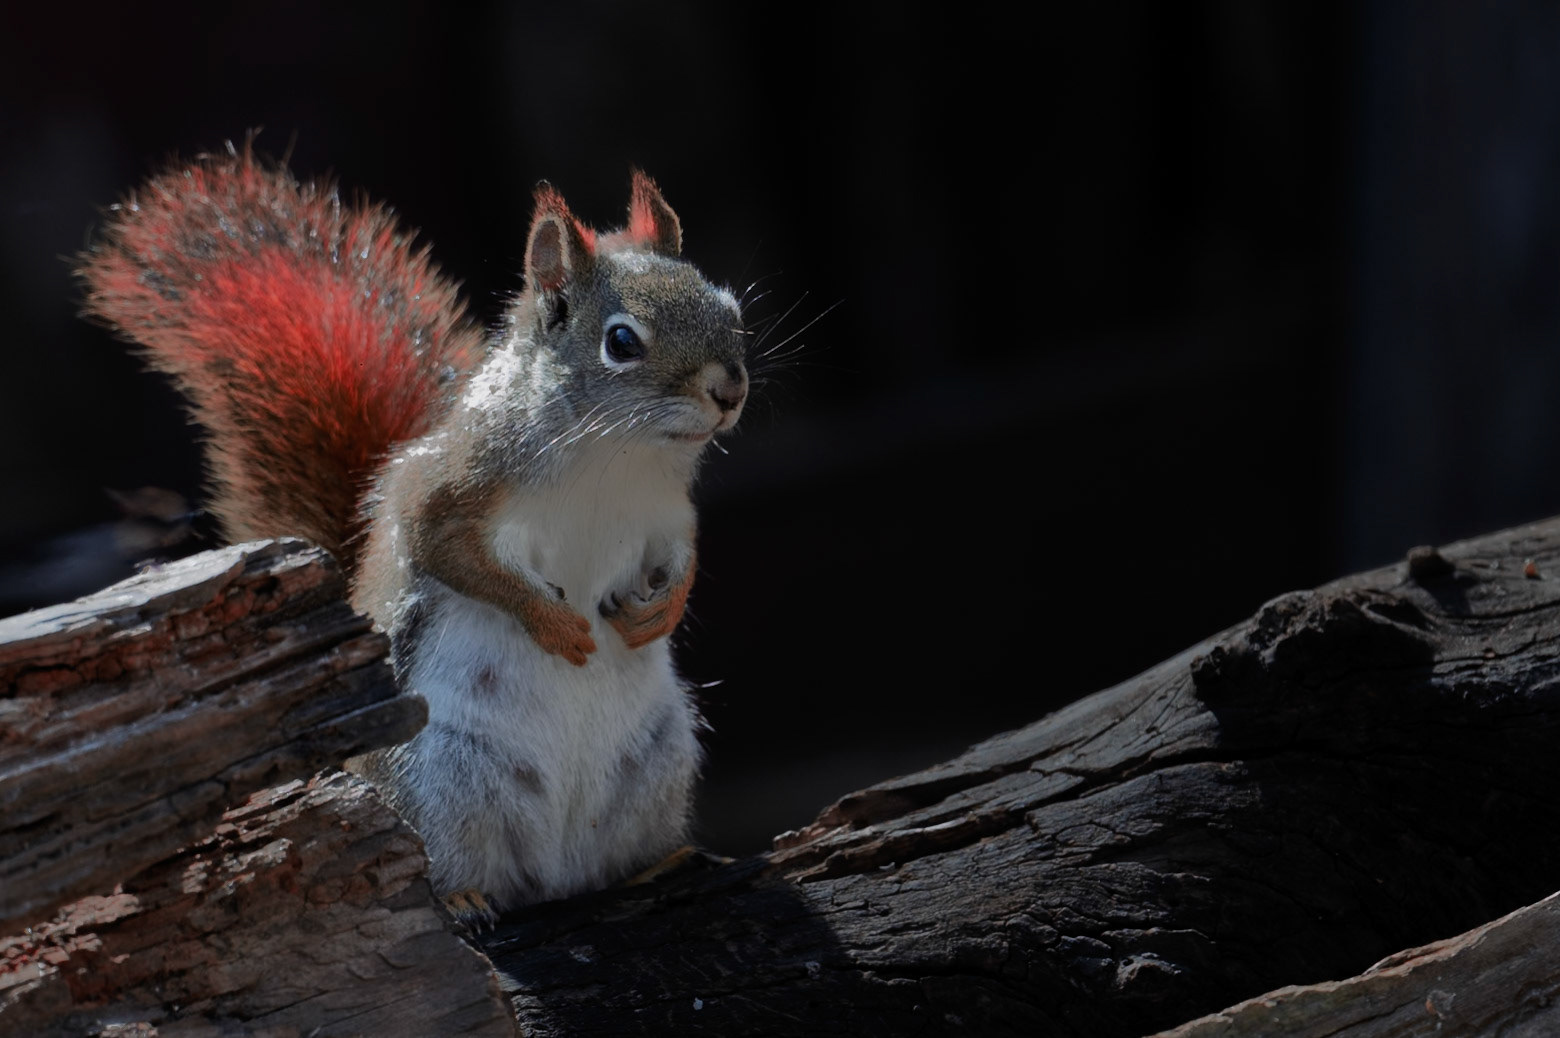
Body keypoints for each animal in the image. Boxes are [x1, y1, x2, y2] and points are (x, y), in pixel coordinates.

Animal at [76, 142, 749, 927]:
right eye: (621, 341)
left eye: (729, 310)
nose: (729, 390)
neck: (618, 456)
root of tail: (558, 874)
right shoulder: (454, 493)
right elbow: (448, 555)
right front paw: (552, 624)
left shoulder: (667, 516)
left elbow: (685, 560)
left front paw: (660, 614)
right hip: (441, 777)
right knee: (445, 863)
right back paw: (463, 896)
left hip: (658, 758)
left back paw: (659, 862)